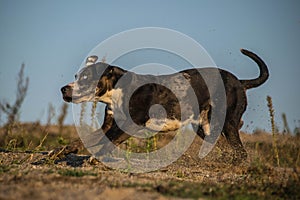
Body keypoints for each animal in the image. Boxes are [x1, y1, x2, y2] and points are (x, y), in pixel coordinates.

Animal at [61, 48, 270, 162]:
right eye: (76, 76)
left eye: (86, 78)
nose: (64, 89)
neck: (118, 91)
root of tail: (240, 82)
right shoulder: (109, 125)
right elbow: (83, 140)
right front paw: (60, 152)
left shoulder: (129, 125)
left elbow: (107, 142)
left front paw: (93, 159)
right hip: (205, 128)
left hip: (226, 123)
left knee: (241, 152)